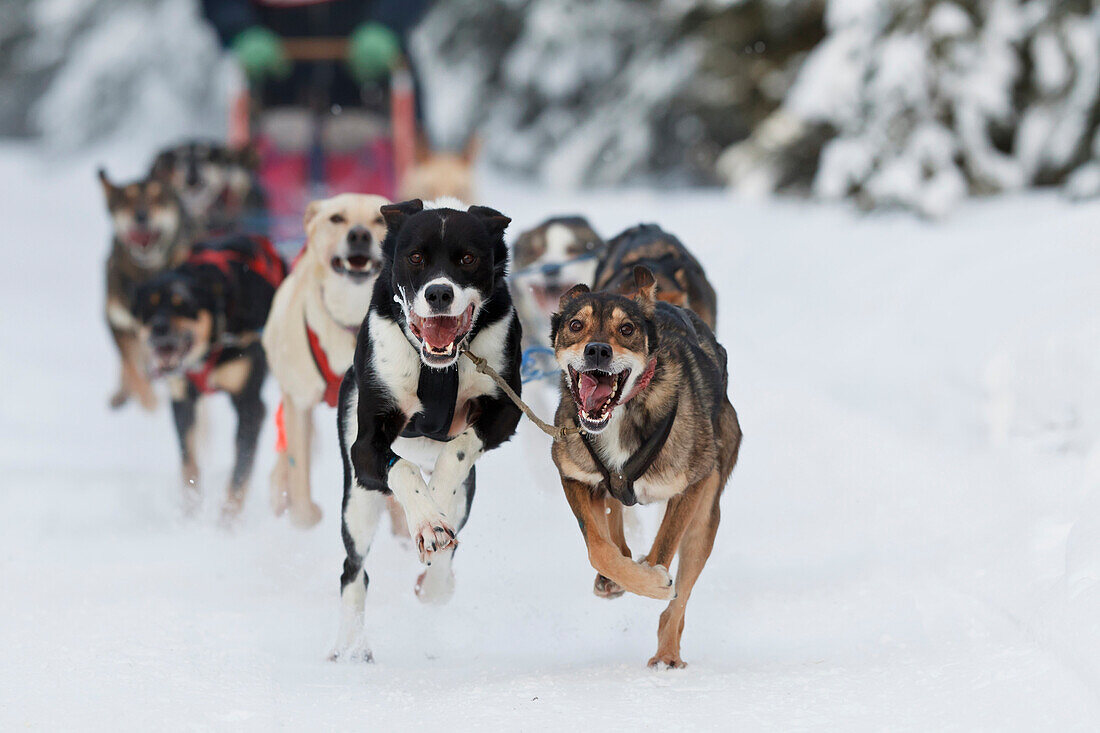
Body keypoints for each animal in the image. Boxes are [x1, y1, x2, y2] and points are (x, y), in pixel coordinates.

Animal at [100, 169, 192, 413]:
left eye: (157, 197)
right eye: (127, 199)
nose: (141, 216)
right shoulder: (119, 324)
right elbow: (133, 370)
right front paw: (150, 404)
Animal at [132, 231, 286, 517]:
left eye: (184, 305)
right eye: (149, 307)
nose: (159, 328)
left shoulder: (250, 405)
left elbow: (239, 475)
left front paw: (227, 522)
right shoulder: (182, 400)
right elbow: (189, 463)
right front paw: (190, 512)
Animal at [261, 192, 391, 526]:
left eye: (379, 218)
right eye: (337, 218)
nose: (359, 235)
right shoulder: (299, 402)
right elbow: (299, 469)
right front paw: (304, 519)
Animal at [332, 197, 521, 660]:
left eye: (468, 259)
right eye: (415, 257)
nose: (439, 293)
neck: (437, 369)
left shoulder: (506, 407)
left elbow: (456, 453)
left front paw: (434, 509)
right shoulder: (366, 447)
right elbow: (400, 469)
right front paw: (426, 518)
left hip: (467, 494)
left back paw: (436, 579)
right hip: (357, 501)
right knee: (353, 571)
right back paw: (351, 646)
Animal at [547, 268, 739, 669]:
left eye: (627, 329)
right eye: (575, 325)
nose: (597, 350)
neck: (621, 415)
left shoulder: (691, 485)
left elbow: (662, 549)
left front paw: (651, 578)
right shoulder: (574, 474)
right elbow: (599, 547)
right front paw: (622, 575)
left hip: (705, 515)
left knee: (679, 599)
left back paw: (667, 654)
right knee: (614, 523)